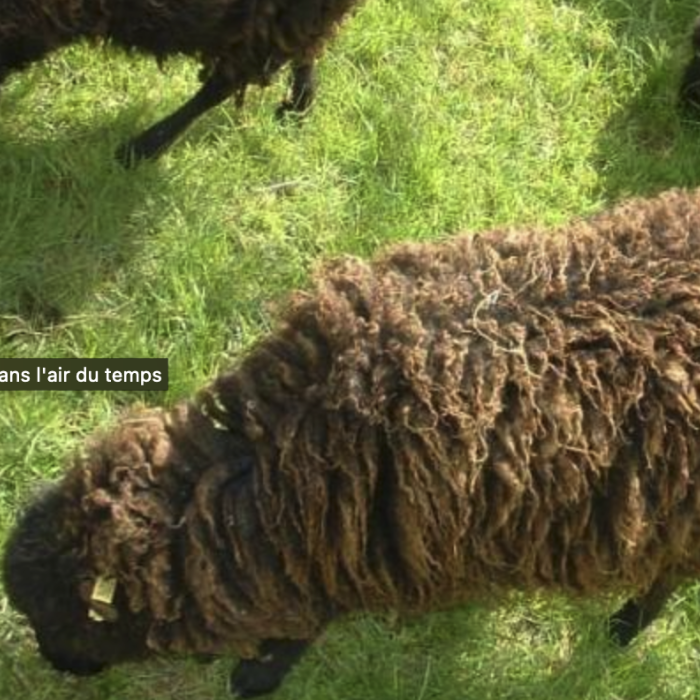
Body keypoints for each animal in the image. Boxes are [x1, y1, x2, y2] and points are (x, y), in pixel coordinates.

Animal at [6, 187, 700, 696]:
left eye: (57, 618)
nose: (60, 669)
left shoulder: (368, 544)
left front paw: (258, 672)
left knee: (668, 574)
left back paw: (624, 626)